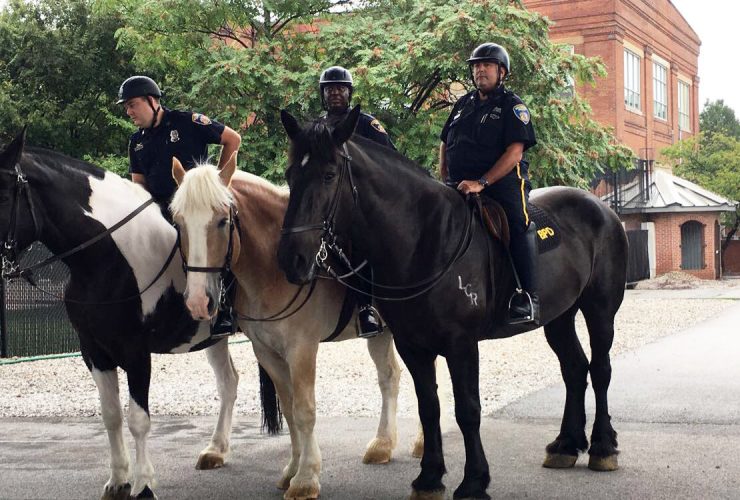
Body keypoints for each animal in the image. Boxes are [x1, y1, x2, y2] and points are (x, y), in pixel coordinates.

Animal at [0, 131, 247, 498]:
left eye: (2, 196)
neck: (108, 256)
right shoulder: (94, 350)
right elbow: (111, 415)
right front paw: (118, 480)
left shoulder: (136, 352)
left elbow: (138, 420)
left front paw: (143, 485)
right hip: (213, 337)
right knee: (229, 383)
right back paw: (216, 450)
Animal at [278, 107, 632, 498]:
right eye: (290, 174)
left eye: (328, 175)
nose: (292, 259)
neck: (423, 239)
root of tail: (603, 209)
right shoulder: (413, 346)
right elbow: (428, 408)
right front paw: (430, 477)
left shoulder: (461, 345)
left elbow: (467, 410)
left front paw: (474, 480)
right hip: (559, 317)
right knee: (574, 368)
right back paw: (566, 445)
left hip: (600, 310)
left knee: (600, 369)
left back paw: (602, 447)